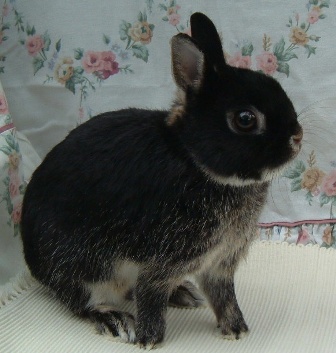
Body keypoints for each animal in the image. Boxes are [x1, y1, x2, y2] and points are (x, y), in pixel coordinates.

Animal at [20, 12, 304, 348]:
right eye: (245, 119)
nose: (297, 137)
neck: (195, 161)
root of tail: (33, 262)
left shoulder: (219, 262)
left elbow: (223, 295)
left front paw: (236, 329)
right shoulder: (162, 260)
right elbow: (150, 294)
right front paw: (149, 338)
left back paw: (182, 293)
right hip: (79, 265)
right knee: (82, 301)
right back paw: (115, 319)